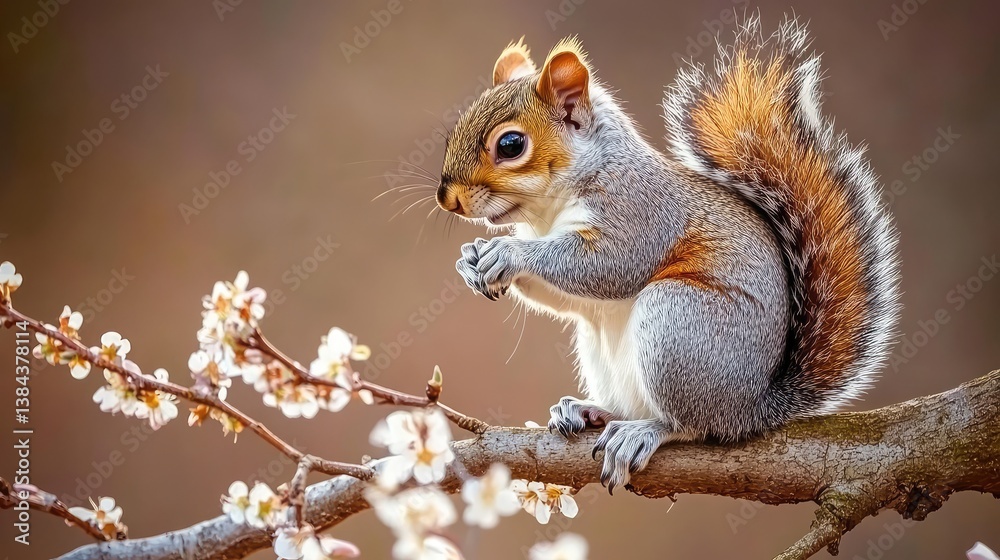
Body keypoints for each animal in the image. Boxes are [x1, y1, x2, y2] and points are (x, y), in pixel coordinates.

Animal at [435, 16, 900, 492]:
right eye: (454, 133)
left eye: (511, 145)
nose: (447, 199)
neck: (547, 213)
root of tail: (753, 409)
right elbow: (564, 297)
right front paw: (470, 259)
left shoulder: (639, 214)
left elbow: (608, 266)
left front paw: (508, 252)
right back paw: (590, 411)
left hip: (678, 323)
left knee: (693, 425)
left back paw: (645, 431)